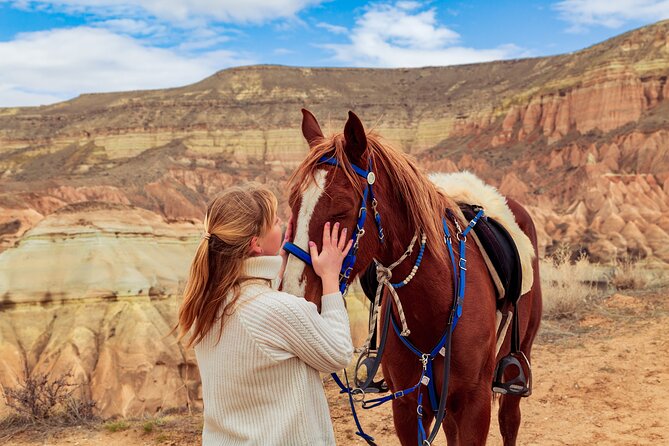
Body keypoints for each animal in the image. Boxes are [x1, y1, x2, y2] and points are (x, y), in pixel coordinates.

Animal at [281, 109, 542, 445]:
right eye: (293, 203)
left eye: (341, 210)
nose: (293, 296)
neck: (434, 306)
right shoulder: (407, 406)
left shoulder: (475, 404)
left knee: (510, 418)